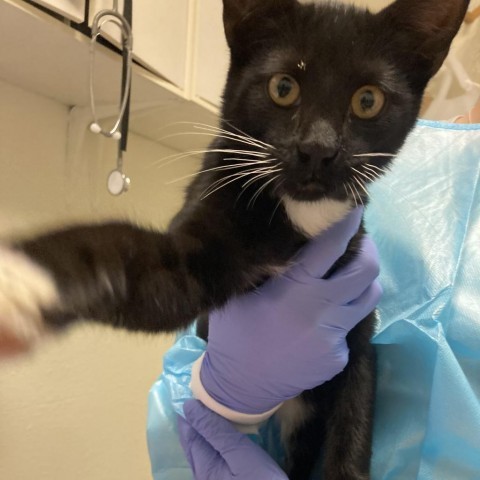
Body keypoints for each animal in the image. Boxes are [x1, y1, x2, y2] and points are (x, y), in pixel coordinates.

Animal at [0, 0, 466, 480]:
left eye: (368, 100)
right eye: (283, 87)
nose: (318, 149)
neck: (301, 217)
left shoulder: (355, 322)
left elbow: (354, 413)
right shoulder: (197, 256)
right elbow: (126, 258)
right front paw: (23, 278)